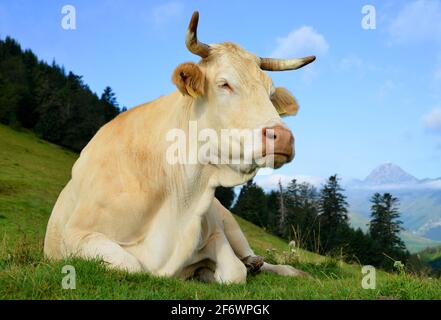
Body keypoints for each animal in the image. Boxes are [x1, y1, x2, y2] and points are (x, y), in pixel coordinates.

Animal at [43, 11, 312, 284]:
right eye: (224, 84)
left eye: (270, 93)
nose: (283, 137)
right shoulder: (77, 233)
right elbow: (130, 265)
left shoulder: (215, 231)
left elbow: (235, 271)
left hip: (229, 221)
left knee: (261, 260)